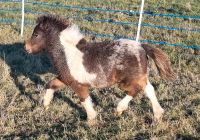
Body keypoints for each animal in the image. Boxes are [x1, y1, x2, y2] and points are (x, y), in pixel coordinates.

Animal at [24, 14, 175, 121]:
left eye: (36, 34)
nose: (26, 48)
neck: (67, 53)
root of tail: (141, 46)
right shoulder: (65, 79)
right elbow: (50, 84)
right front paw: (46, 104)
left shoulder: (78, 84)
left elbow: (84, 100)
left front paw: (91, 119)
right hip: (138, 77)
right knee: (147, 89)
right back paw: (154, 114)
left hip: (130, 79)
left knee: (138, 89)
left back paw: (124, 109)